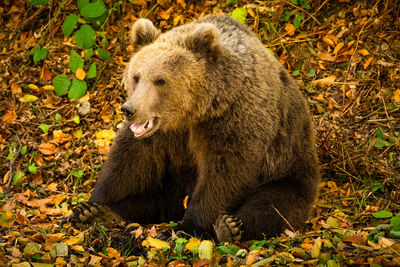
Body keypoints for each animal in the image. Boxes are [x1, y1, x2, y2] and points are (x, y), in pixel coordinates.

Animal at [74, 13, 318, 243]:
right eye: (136, 77)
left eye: (160, 80)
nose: (129, 109)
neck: (193, 112)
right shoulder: (161, 134)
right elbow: (128, 161)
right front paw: (90, 206)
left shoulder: (233, 119)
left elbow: (225, 173)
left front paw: (185, 229)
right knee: (154, 199)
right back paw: (106, 214)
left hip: (289, 166)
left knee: (272, 205)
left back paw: (229, 227)